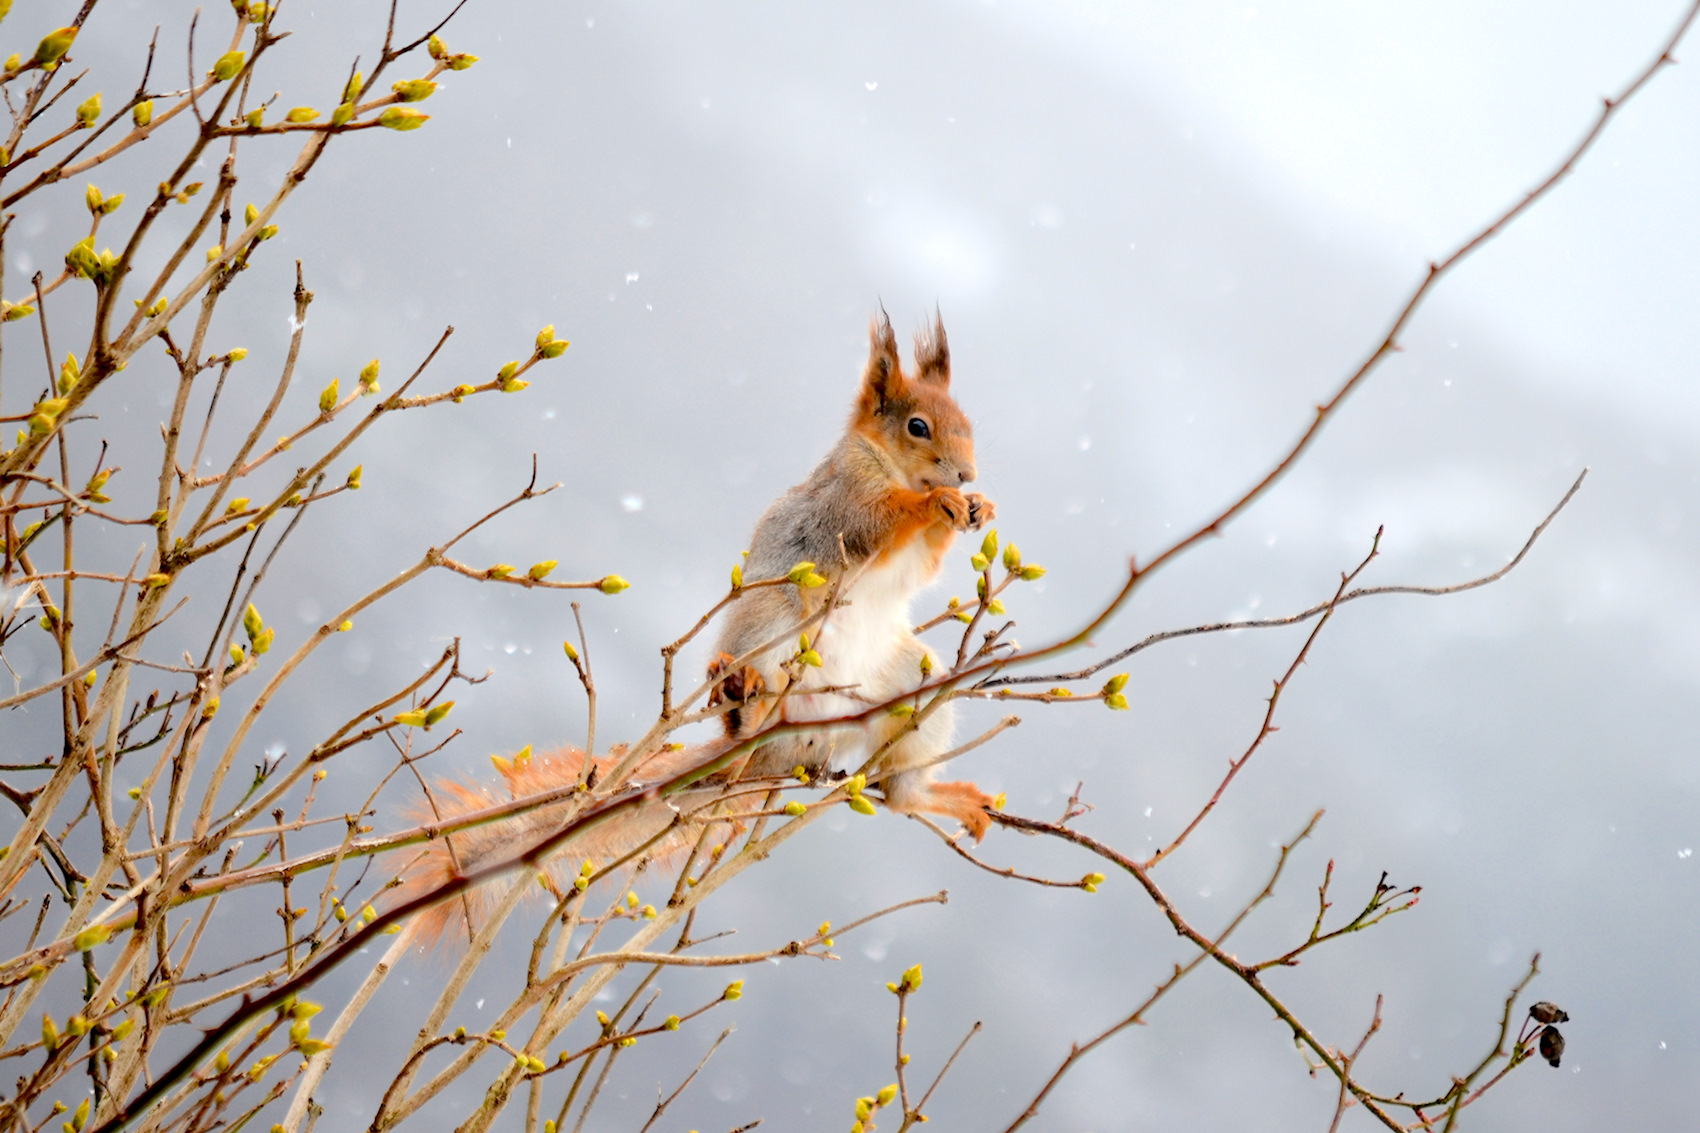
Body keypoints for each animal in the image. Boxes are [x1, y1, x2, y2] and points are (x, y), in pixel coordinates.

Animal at [391, 311, 999, 945]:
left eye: (967, 425)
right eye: (917, 426)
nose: (967, 473)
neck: (888, 464)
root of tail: (794, 744)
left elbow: (924, 564)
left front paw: (978, 507)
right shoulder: (844, 503)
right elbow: (881, 521)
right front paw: (936, 505)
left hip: (913, 687)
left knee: (902, 793)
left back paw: (950, 799)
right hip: (769, 626)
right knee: (754, 705)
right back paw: (743, 700)